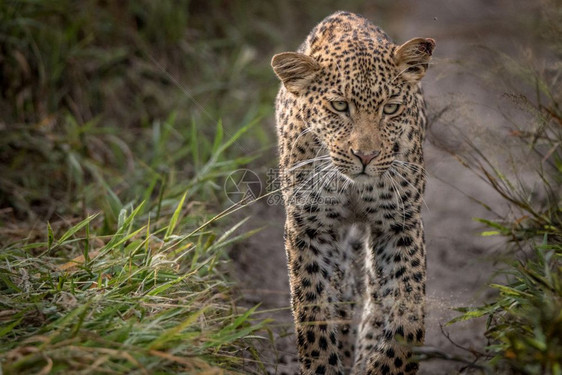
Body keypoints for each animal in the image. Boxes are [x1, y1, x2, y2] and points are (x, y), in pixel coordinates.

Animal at [270, 10, 436, 374]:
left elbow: (406, 306)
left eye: (390, 108)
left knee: (374, 295)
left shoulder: (398, 224)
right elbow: (314, 306)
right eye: (339, 106)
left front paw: (388, 361)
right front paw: (323, 363)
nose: (366, 156)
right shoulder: (310, 226)